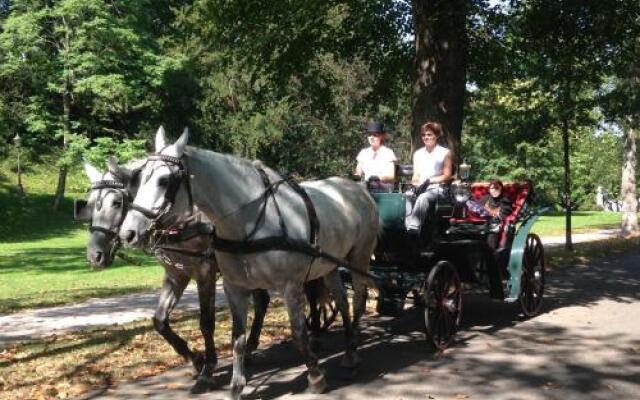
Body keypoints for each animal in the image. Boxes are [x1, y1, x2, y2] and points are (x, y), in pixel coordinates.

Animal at [77, 159, 270, 394]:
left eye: (116, 202)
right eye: (90, 204)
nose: (94, 255)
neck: (183, 222)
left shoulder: (204, 274)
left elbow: (206, 323)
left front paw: (208, 368)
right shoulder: (176, 275)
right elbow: (160, 321)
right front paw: (195, 359)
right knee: (262, 301)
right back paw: (250, 348)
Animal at [119, 126, 380, 398]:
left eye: (164, 180)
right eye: (139, 179)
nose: (128, 233)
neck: (249, 221)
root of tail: (357, 189)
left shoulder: (289, 285)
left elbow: (298, 332)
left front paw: (315, 376)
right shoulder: (233, 287)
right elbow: (237, 337)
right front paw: (236, 384)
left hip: (359, 258)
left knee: (358, 299)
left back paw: (352, 352)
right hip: (329, 265)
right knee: (342, 302)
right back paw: (348, 349)